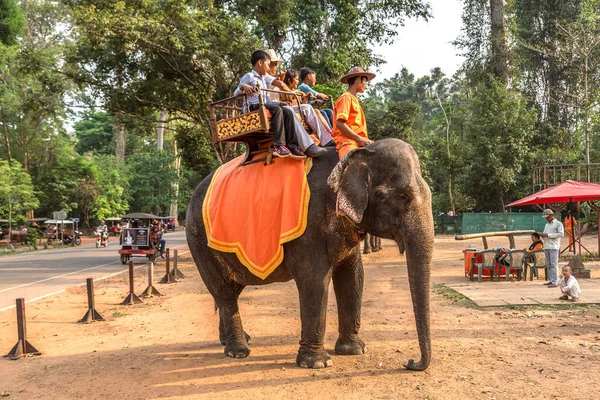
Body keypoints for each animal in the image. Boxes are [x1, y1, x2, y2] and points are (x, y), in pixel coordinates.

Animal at [185, 139, 434, 370]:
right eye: (400, 196)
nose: (410, 363)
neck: (356, 152)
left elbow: (353, 277)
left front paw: (354, 350)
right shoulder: (310, 225)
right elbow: (314, 280)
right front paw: (317, 363)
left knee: (233, 288)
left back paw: (233, 341)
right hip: (200, 241)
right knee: (223, 291)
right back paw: (238, 351)